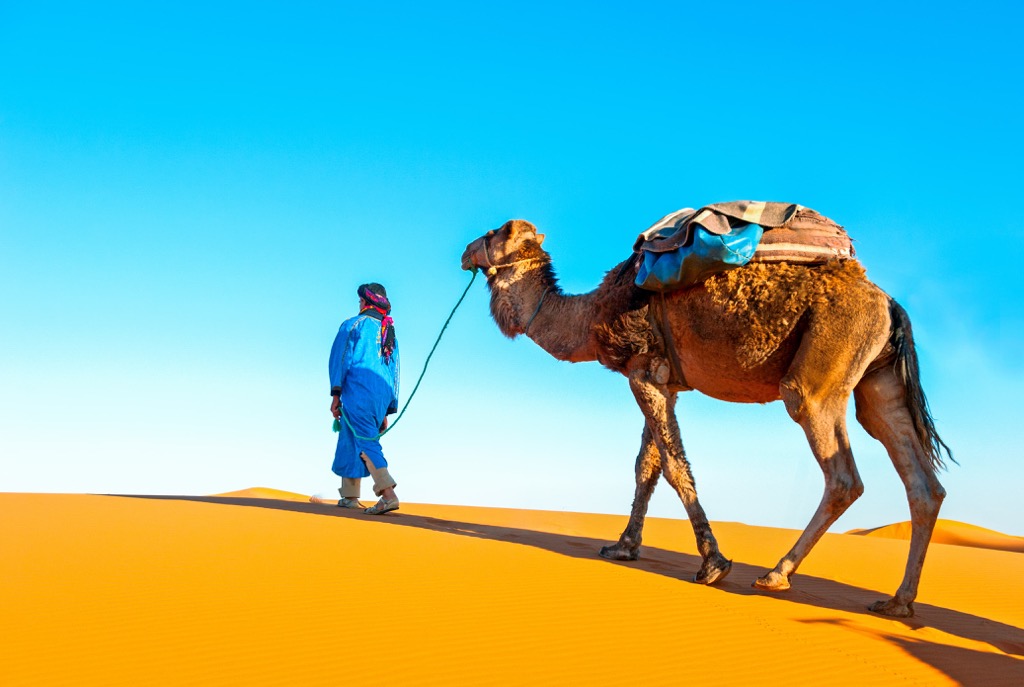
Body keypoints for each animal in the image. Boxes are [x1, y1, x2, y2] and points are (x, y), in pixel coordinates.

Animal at [461, 218, 952, 618]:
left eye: (494, 232)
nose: (465, 252)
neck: (590, 318)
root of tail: (891, 305)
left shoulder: (644, 371)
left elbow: (673, 466)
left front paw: (712, 563)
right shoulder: (664, 381)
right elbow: (646, 467)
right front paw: (623, 547)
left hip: (820, 373)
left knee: (841, 471)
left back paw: (777, 573)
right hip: (877, 379)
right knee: (920, 481)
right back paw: (898, 601)